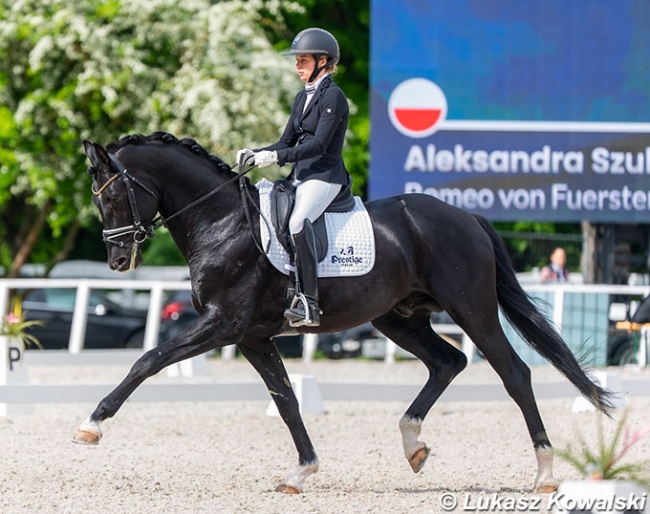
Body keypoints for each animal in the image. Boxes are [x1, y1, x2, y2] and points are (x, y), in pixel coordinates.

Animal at [74, 131, 608, 492]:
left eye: (115, 195)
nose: (118, 261)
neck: (222, 223)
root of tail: (465, 216)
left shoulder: (224, 325)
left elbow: (149, 359)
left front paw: (92, 424)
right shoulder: (253, 337)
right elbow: (287, 400)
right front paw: (301, 470)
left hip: (471, 309)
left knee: (514, 373)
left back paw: (544, 474)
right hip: (397, 317)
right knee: (448, 361)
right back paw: (413, 445)